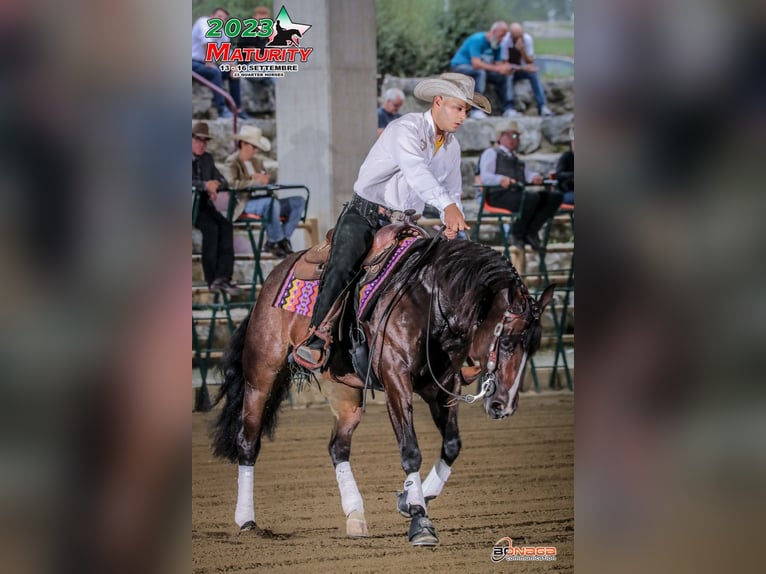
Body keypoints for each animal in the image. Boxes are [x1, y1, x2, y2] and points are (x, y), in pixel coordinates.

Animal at [213, 235, 556, 548]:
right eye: (507, 340)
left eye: (534, 345)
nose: (503, 406)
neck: (429, 301)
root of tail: (275, 275)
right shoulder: (396, 380)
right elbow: (410, 450)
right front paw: (420, 521)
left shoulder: (442, 387)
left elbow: (452, 445)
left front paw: (410, 499)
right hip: (261, 376)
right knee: (248, 442)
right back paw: (246, 520)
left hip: (345, 393)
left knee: (338, 447)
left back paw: (355, 515)